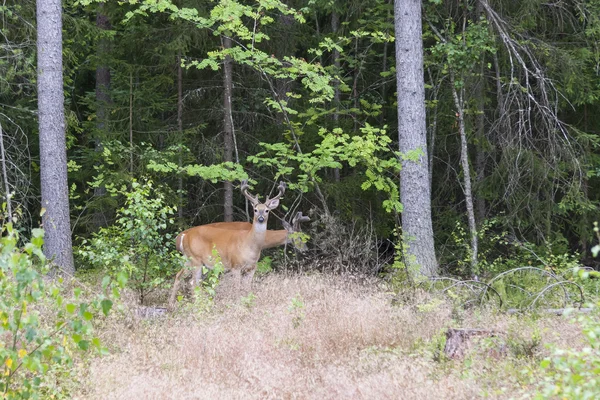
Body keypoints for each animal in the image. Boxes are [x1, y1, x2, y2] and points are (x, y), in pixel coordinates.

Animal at [169, 180, 310, 308]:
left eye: (267, 211)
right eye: (255, 209)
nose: (305, 249)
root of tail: (183, 235)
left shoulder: (251, 268)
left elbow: (247, 289)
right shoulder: (234, 266)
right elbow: (236, 288)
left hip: (191, 260)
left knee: (180, 276)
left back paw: (173, 304)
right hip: (196, 260)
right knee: (193, 283)